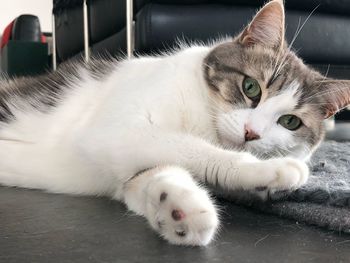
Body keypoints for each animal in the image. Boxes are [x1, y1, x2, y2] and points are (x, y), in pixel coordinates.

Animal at [0, 0, 350, 248]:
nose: (252, 133)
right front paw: (269, 169)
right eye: (251, 87)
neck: (203, 117)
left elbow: (150, 175)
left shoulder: (124, 165)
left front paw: (177, 207)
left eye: (290, 121)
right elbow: (191, 148)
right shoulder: (115, 131)